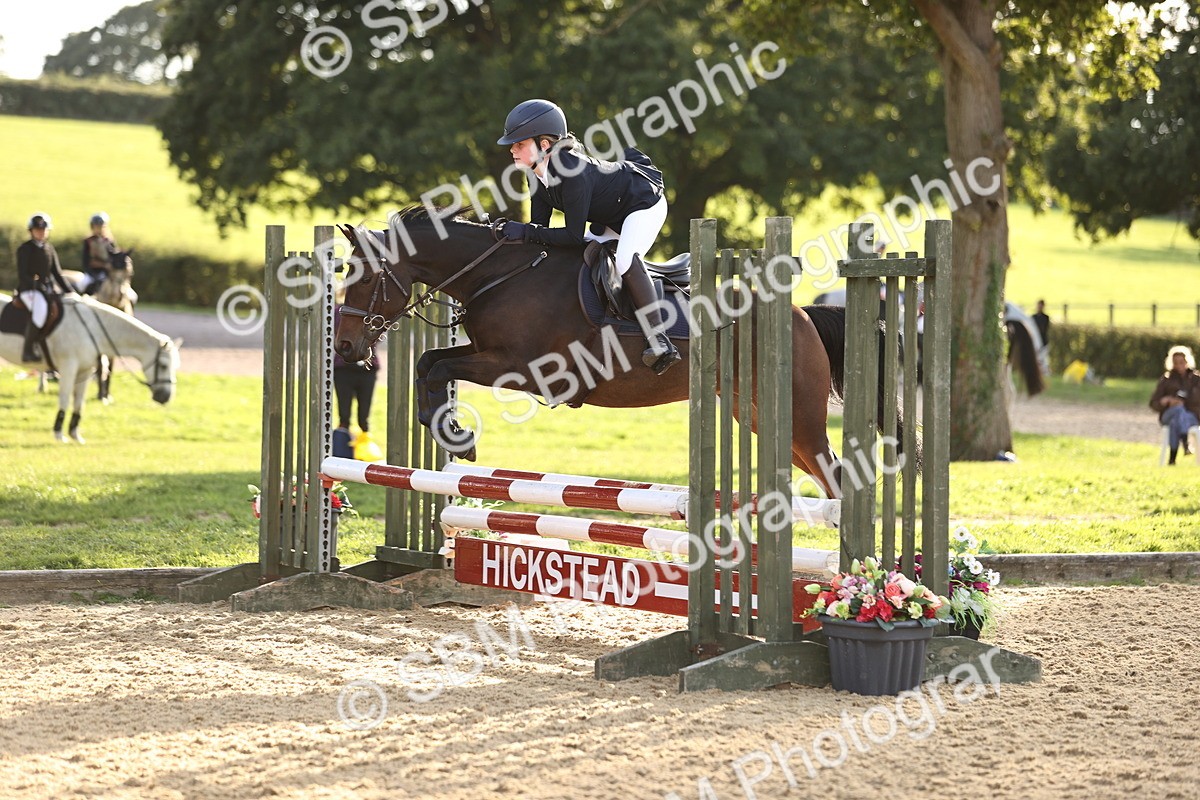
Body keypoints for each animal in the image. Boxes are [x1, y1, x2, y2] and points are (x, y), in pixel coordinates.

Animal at [0, 292, 179, 443]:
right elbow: (65, 399)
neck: (92, 329)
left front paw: (75, 435)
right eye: (163, 365)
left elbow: (79, 403)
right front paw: (59, 434)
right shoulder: (68, 368)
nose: (166, 397)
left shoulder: (84, 372)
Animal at [333, 208, 903, 498]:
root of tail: (803, 314)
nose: (343, 346)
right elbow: (430, 363)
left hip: (800, 415)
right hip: (759, 415)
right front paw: (450, 431)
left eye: (361, 277)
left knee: (835, 474)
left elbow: (440, 364)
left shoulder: (525, 369)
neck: (500, 273)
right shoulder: (492, 354)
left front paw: (457, 434)